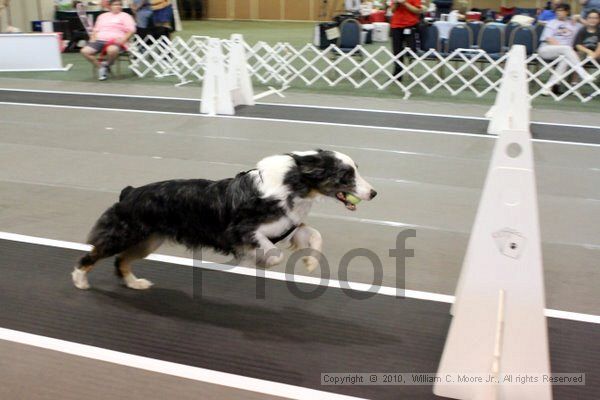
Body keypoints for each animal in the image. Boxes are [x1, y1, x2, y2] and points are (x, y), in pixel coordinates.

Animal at [71, 150, 376, 290]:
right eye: (346, 175)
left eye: (355, 172)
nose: (373, 193)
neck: (293, 183)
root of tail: (130, 192)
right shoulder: (241, 231)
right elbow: (273, 252)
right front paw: (261, 262)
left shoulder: (289, 226)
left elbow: (314, 235)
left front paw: (311, 262)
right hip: (126, 233)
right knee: (94, 253)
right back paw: (80, 280)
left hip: (149, 241)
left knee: (121, 260)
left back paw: (135, 283)